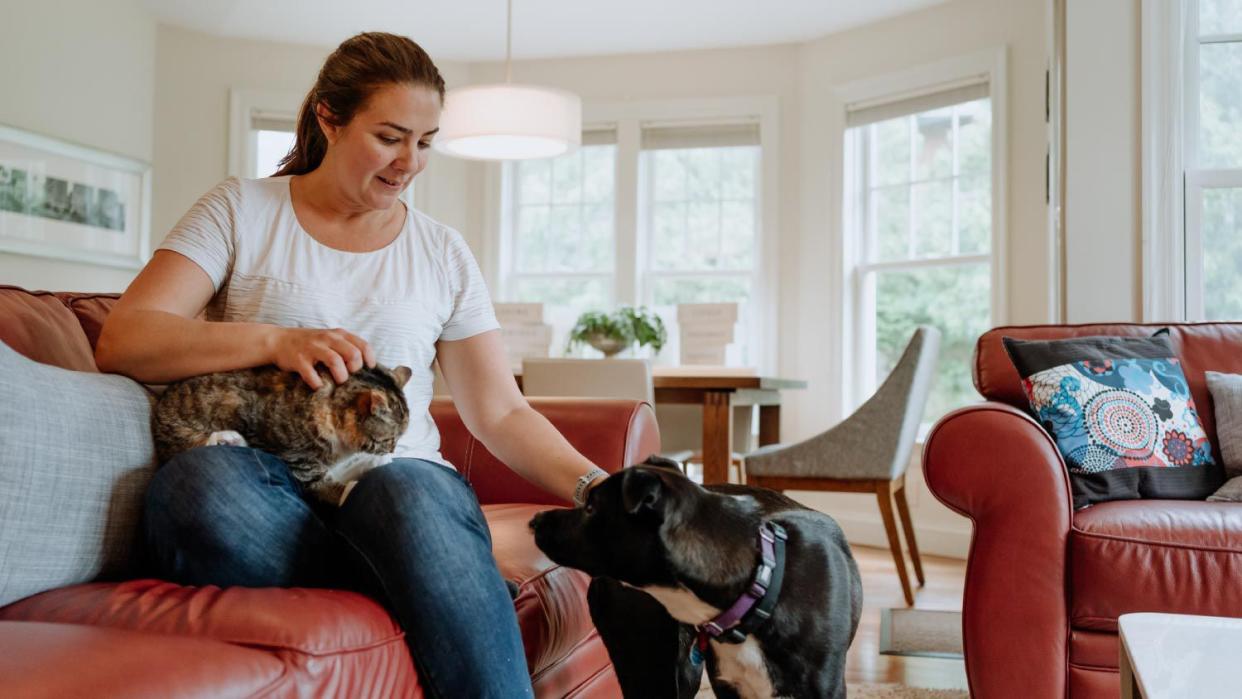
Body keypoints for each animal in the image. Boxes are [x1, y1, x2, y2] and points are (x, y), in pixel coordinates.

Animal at [155, 365, 412, 506]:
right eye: (391, 439)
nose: (393, 449)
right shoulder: (299, 461)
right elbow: (323, 486)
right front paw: (348, 490)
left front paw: (379, 462)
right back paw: (227, 438)